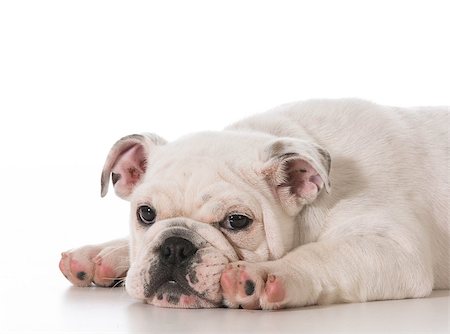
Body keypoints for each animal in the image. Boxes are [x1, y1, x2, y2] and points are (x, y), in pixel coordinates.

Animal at [59, 99, 450, 310]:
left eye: (237, 222)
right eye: (146, 214)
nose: (175, 246)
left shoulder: (396, 246)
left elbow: (324, 253)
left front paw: (264, 276)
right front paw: (102, 254)